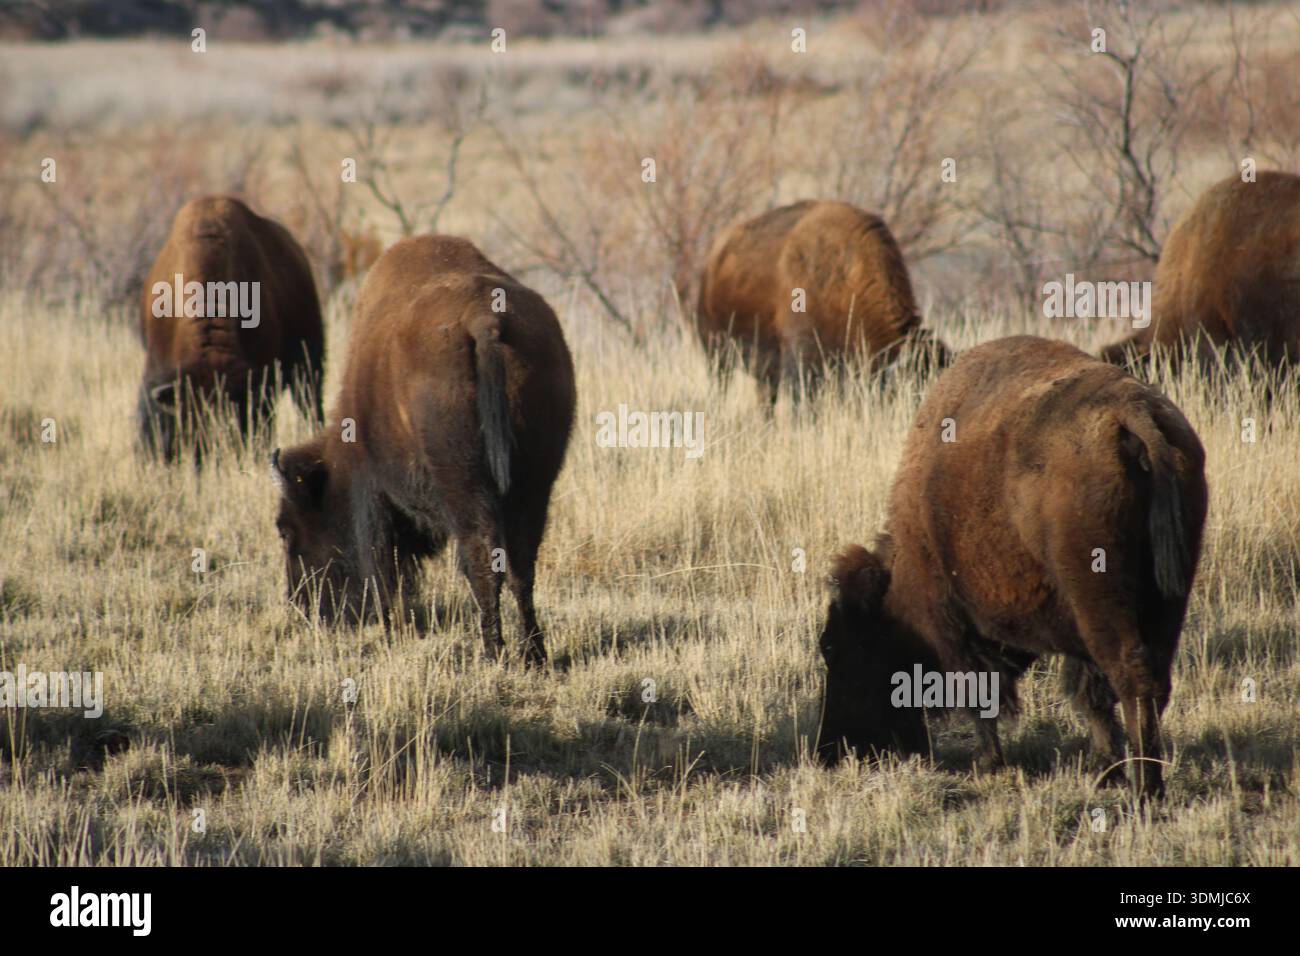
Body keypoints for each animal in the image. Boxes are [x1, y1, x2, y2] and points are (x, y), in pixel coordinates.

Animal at [272, 235, 576, 665]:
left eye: (286, 530)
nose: (302, 607)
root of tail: (485, 323)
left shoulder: (371, 491)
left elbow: (379, 561)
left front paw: (390, 630)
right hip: (535, 482)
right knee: (521, 561)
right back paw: (533, 653)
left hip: (465, 482)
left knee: (481, 554)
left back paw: (492, 652)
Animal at [818, 336, 1207, 797]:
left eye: (835, 646)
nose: (833, 747)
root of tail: (1132, 415)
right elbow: (1089, 694)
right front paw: (1104, 769)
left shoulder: (952, 626)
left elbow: (978, 694)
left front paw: (988, 763)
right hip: (1168, 596)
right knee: (1151, 680)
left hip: (1103, 598)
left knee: (1132, 675)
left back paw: (1146, 789)